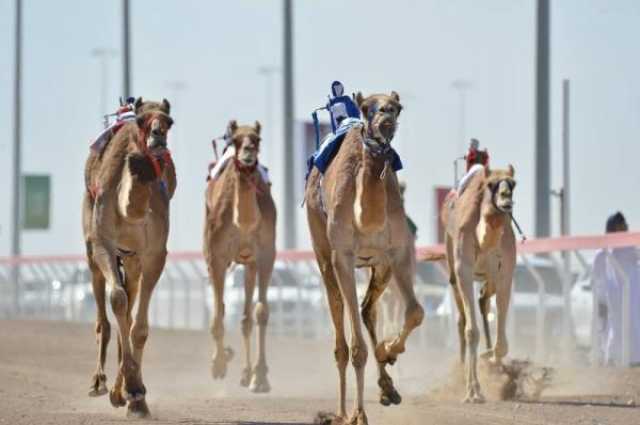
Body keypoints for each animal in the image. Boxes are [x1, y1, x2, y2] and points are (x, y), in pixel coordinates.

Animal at [84, 97, 178, 418]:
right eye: (140, 120)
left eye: (169, 121)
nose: (157, 137)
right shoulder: (102, 244)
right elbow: (117, 301)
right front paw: (130, 389)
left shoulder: (154, 254)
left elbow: (139, 327)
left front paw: (136, 395)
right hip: (92, 250)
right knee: (106, 313)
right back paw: (99, 384)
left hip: (133, 261)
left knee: (129, 304)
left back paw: (121, 389)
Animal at [204, 118, 276, 390]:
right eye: (235, 140)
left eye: (257, 139)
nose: (247, 154)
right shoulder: (216, 257)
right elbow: (217, 314)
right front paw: (218, 366)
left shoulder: (266, 255)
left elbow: (261, 312)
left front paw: (261, 377)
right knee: (222, 308)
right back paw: (225, 358)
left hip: (249, 263)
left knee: (246, 318)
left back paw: (246, 373)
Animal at [306, 91, 424, 422]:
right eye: (367, 108)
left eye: (397, 108)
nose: (385, 119)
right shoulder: (343, 257)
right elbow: (357, 348)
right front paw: (358, 416)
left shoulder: (398, 253)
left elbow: (415, 312)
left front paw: (389, 350)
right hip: (323, 254)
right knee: (340, 329)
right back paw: (341, 412)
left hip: (379, 267)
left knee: (367, 308)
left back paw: (388, 388)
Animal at [440, 164, 520, 402]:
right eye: (491, 185)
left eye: (513, 183)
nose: (506, 198)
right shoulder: (463, 270)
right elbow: (471, 331)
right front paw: (473, 391)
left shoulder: (505, 272)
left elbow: (502, 344)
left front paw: (492, 360)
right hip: (453, 267)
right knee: (461, 319)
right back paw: (462, 370)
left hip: (489, 277)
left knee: (483, 300)